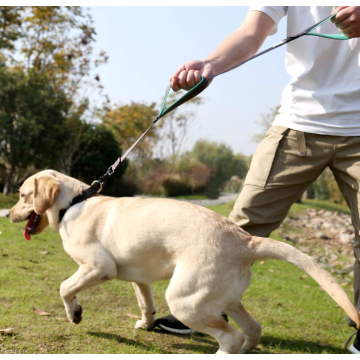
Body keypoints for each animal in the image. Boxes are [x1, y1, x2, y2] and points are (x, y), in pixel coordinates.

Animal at [7, 169, 358, 354]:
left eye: (23, 195)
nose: (8, 215)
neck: (73, 203)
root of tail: (247, 241)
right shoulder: (140, 279)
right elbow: (145, 304)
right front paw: (145, 324)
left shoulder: (97, 267)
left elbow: (65, 288)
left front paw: (75, 314)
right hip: (224, 299)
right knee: (252, 329)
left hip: (184, 300)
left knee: (231, 337)